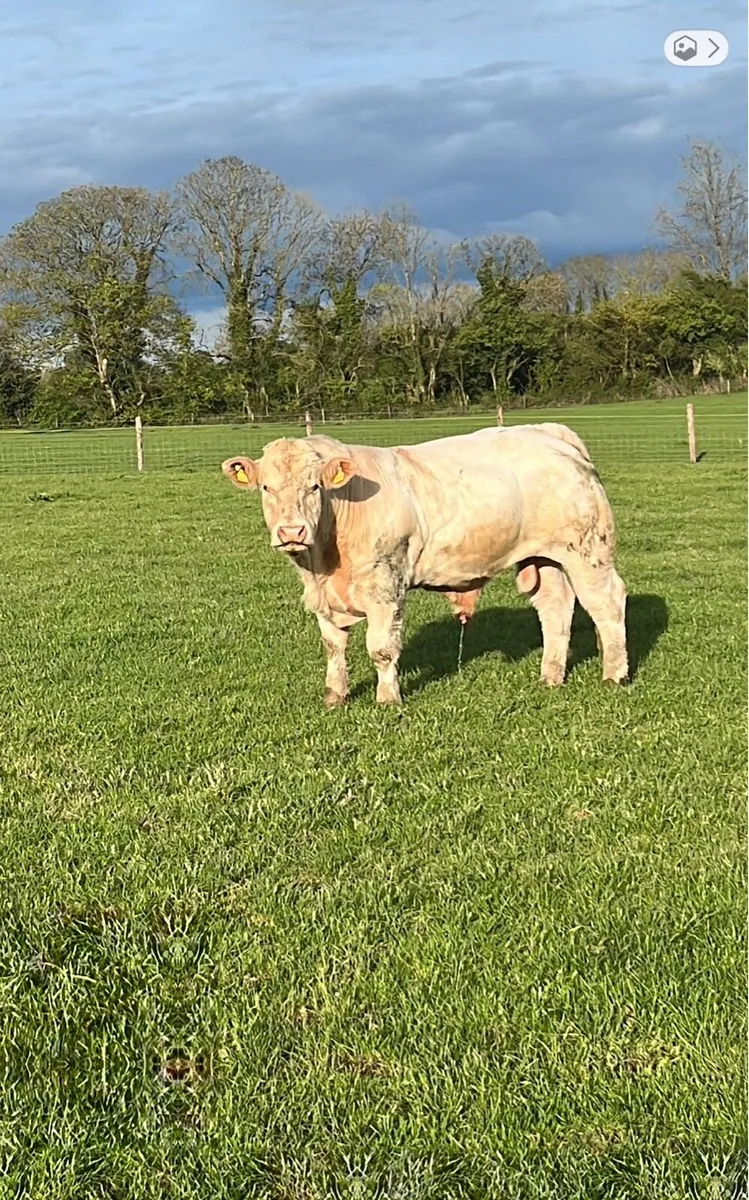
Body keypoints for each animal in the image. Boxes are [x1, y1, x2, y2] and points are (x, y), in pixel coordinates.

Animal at [221, 423, 628, 706]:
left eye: (315, 487)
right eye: (266, 488)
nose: (291, 531)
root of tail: (551, 434)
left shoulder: (385, 588)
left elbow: (381, 648)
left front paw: (388, 699)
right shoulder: (324, 596)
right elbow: (333, 646)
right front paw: (335, 697)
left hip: (588, 552)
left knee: (607, 605)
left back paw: (615, 675)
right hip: (545, 559)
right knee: (555, 610)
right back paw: (551, 677)